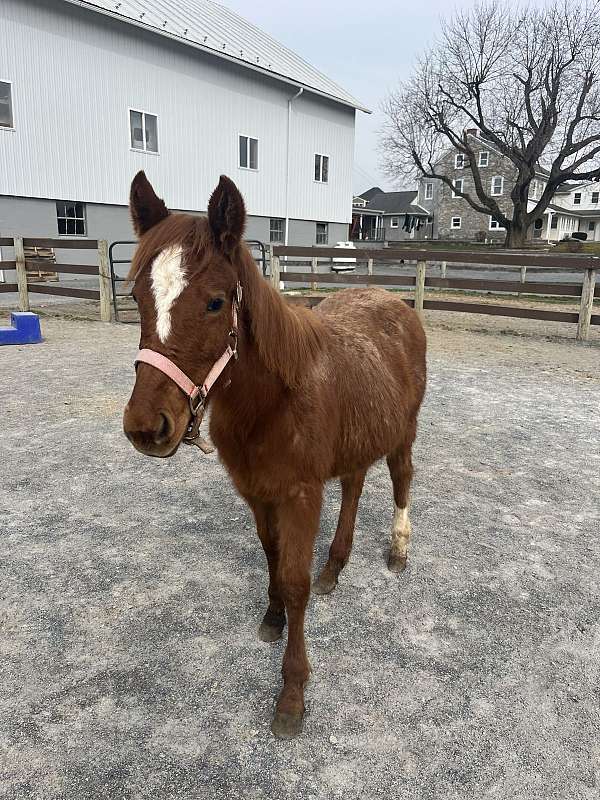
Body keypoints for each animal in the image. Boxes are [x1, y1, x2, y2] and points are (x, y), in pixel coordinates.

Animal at [123, 172, 426, 740]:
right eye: (136, 295)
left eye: (215, 302)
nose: (147, 428)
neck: (272, 403)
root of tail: (395, 302)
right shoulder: (256, 491)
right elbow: (271, 555)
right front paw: (273, 618)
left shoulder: (300, 495)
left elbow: (294, 579)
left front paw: (292, 694)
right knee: (353, 485)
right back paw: (335, 566)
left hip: (404, 432)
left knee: (401, 477)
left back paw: (397, 550)